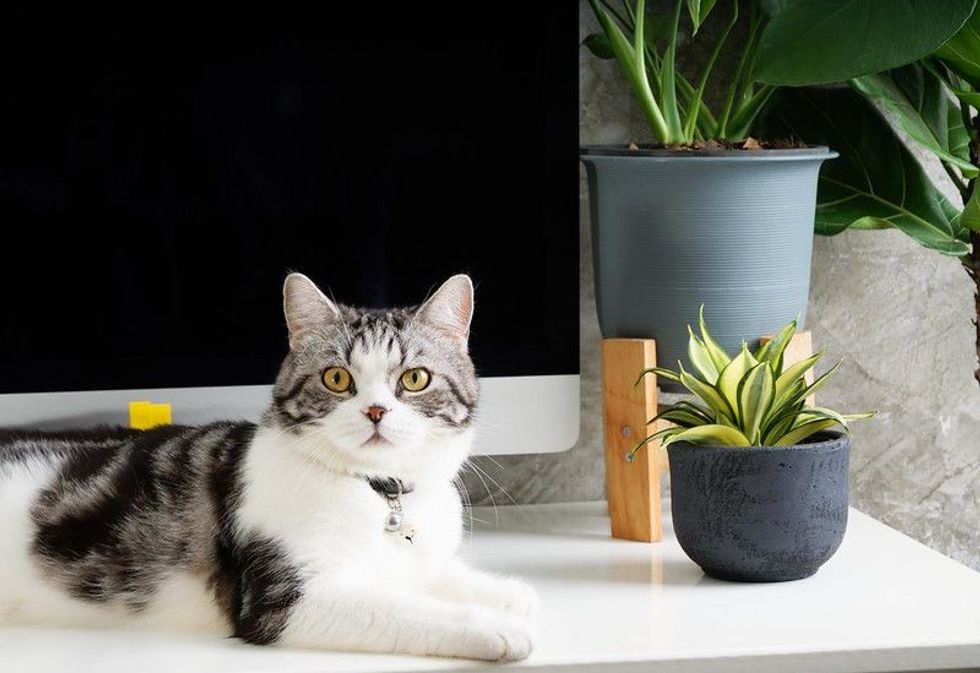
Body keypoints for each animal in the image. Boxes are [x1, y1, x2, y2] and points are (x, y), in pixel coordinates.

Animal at [0, 274, 536, 660]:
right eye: (337, 378)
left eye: (415, 378)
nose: (375, 411)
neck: (376, 491)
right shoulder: (283, 601)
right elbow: (403, 608)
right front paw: (497, 627)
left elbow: (438, 575)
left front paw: (511, 596)